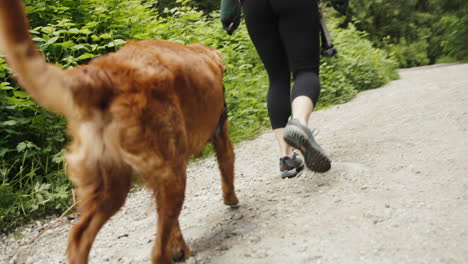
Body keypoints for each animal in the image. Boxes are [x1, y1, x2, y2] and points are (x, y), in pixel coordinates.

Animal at [0, 1, 239, 262]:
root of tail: (103, 75)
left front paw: (180, 248)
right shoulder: (221, 135)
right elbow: (227, 170)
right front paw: (231, 200)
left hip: (111, 184)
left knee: (78, 238)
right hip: (170, 176)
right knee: (156, 251)